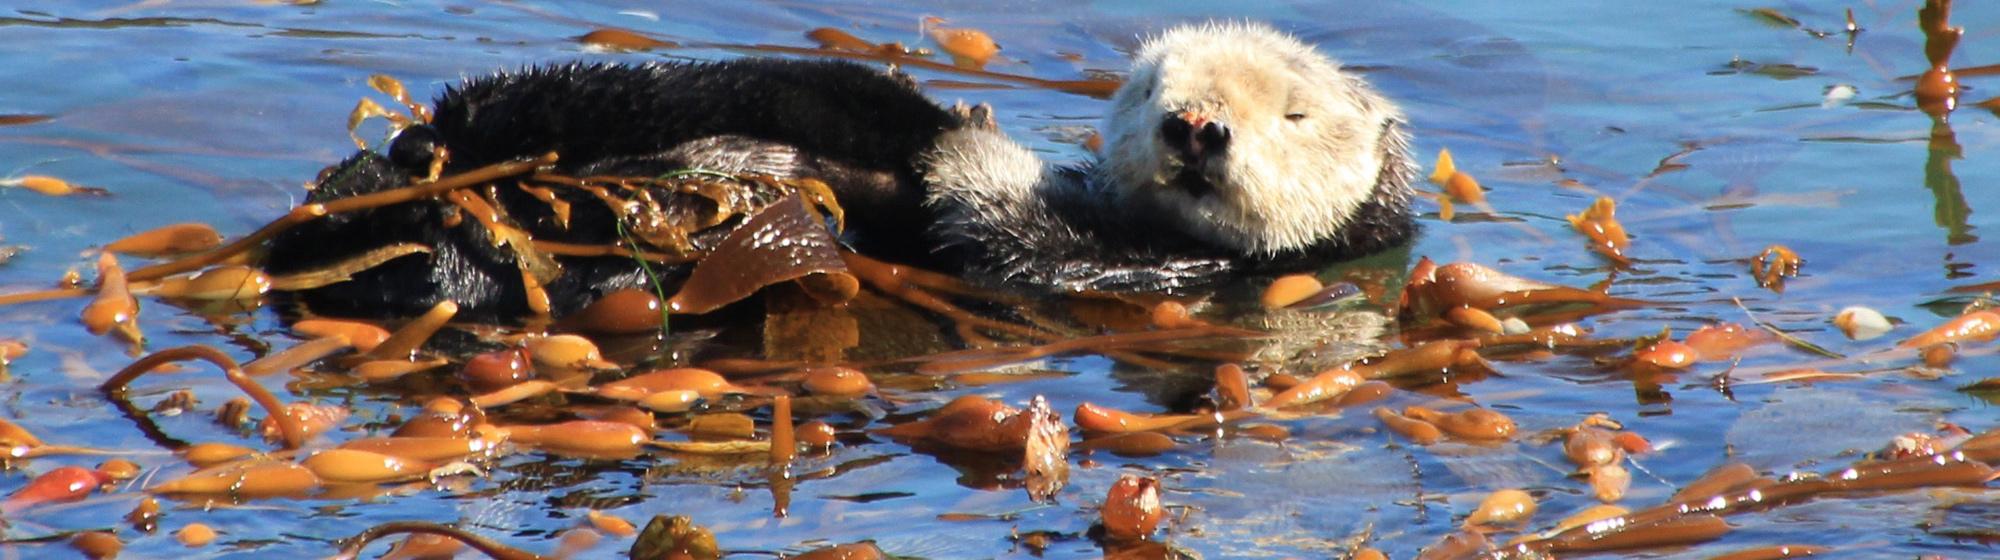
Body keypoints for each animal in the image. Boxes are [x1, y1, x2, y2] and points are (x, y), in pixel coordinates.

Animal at [270, 23, 1424, 320]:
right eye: (1149, 88)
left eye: (1293, 112)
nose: (1194, 126)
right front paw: (946, 112)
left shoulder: (1139, 270)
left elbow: (997, 230)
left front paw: (956, 136)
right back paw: (416, 149)